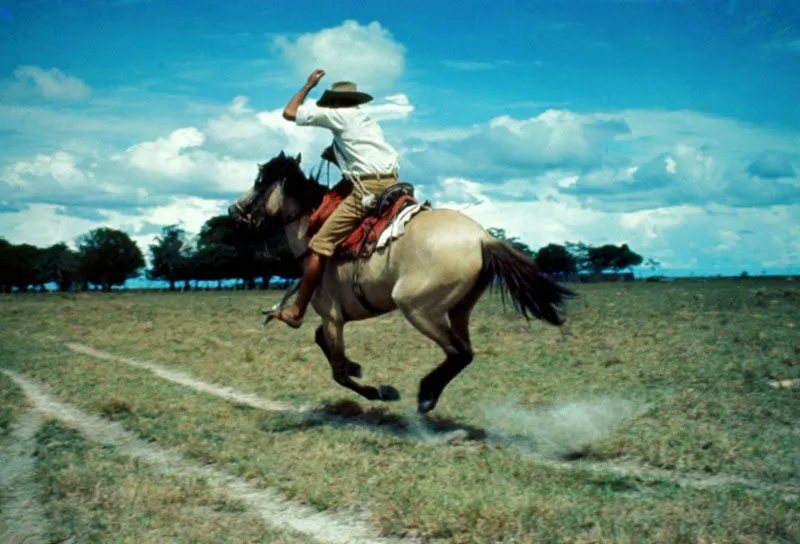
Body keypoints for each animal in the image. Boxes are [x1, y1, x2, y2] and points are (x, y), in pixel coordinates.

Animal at [231, 151, 576, 414]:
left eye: (261, 182)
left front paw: (380, 390)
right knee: (465, 350)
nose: (234, 211)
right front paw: (358, 367)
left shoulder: (331, 316)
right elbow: (326, 348)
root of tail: (481, 238)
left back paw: (425, 396)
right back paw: (429, 395)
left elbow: (338, 370)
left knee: (457, 351)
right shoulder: (341, 315)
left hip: (417, 308)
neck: (313, 226)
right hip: (458, 308)